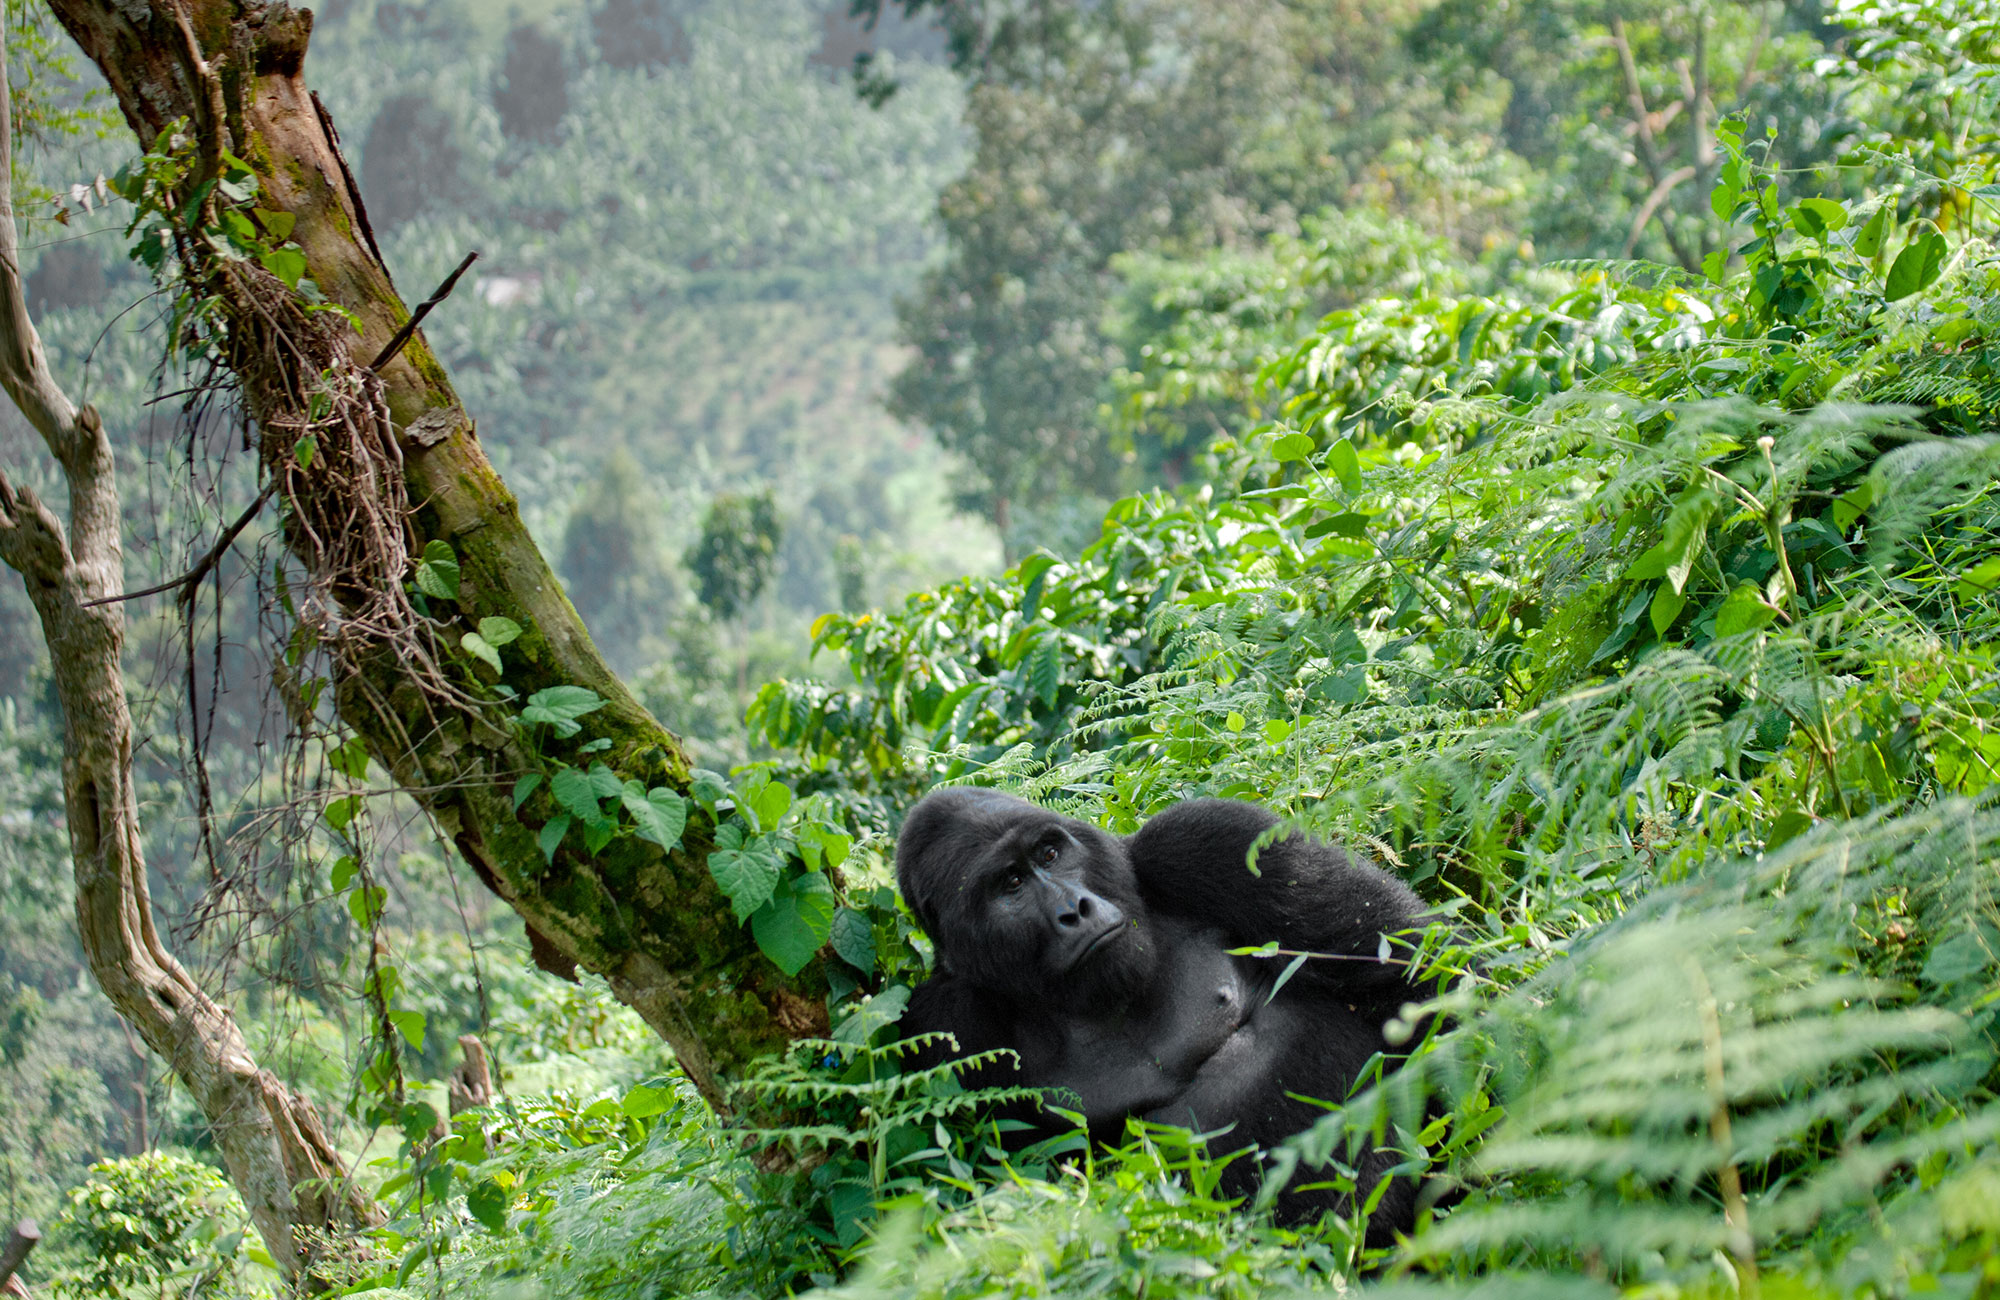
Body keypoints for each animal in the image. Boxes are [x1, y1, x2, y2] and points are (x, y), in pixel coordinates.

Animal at [896, 780, 1440, 1232]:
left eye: (1049, 853)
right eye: (1010, 884)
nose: (1076, 910)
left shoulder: (1207, 841)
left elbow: (1410, 970)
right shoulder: (945, 1022)